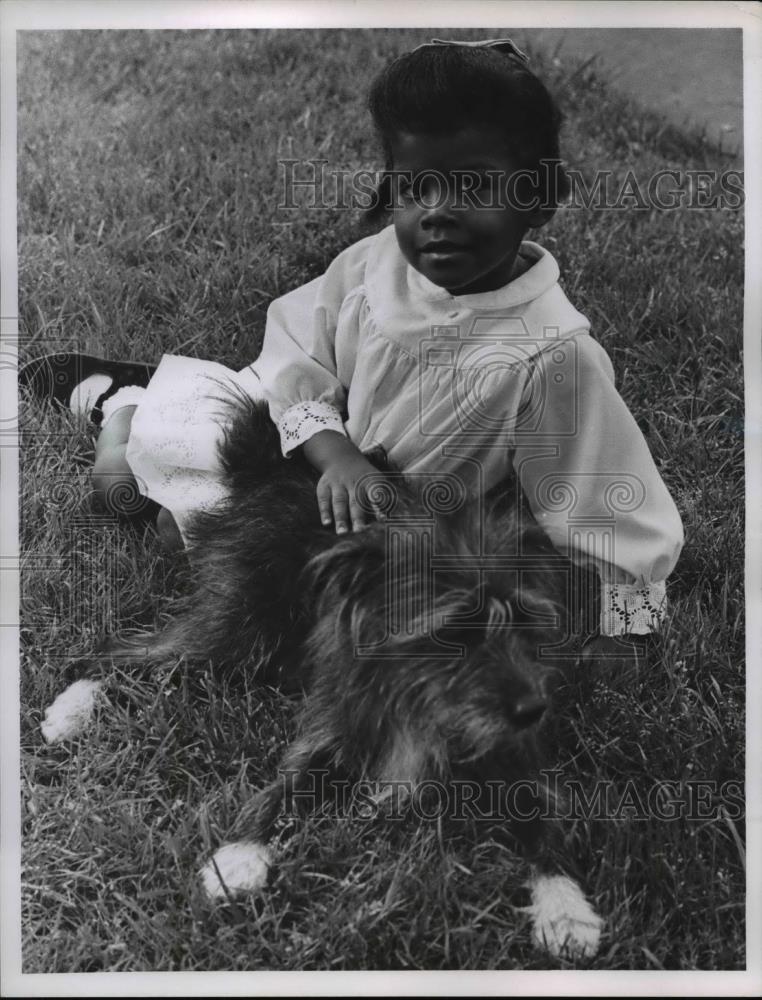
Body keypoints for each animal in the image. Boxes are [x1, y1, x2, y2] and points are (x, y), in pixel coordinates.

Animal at [41, 394, 604, 956]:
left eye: (525, 620)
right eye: (455, 633)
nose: (535, 709)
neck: (422, 697)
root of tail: (269, 472)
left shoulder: (514, 753)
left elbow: (544, 820)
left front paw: (566, 908)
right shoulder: (335, 726)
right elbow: (283, 787)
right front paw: (239, 856)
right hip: (239, 629)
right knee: (120, 652)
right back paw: (71, 710)